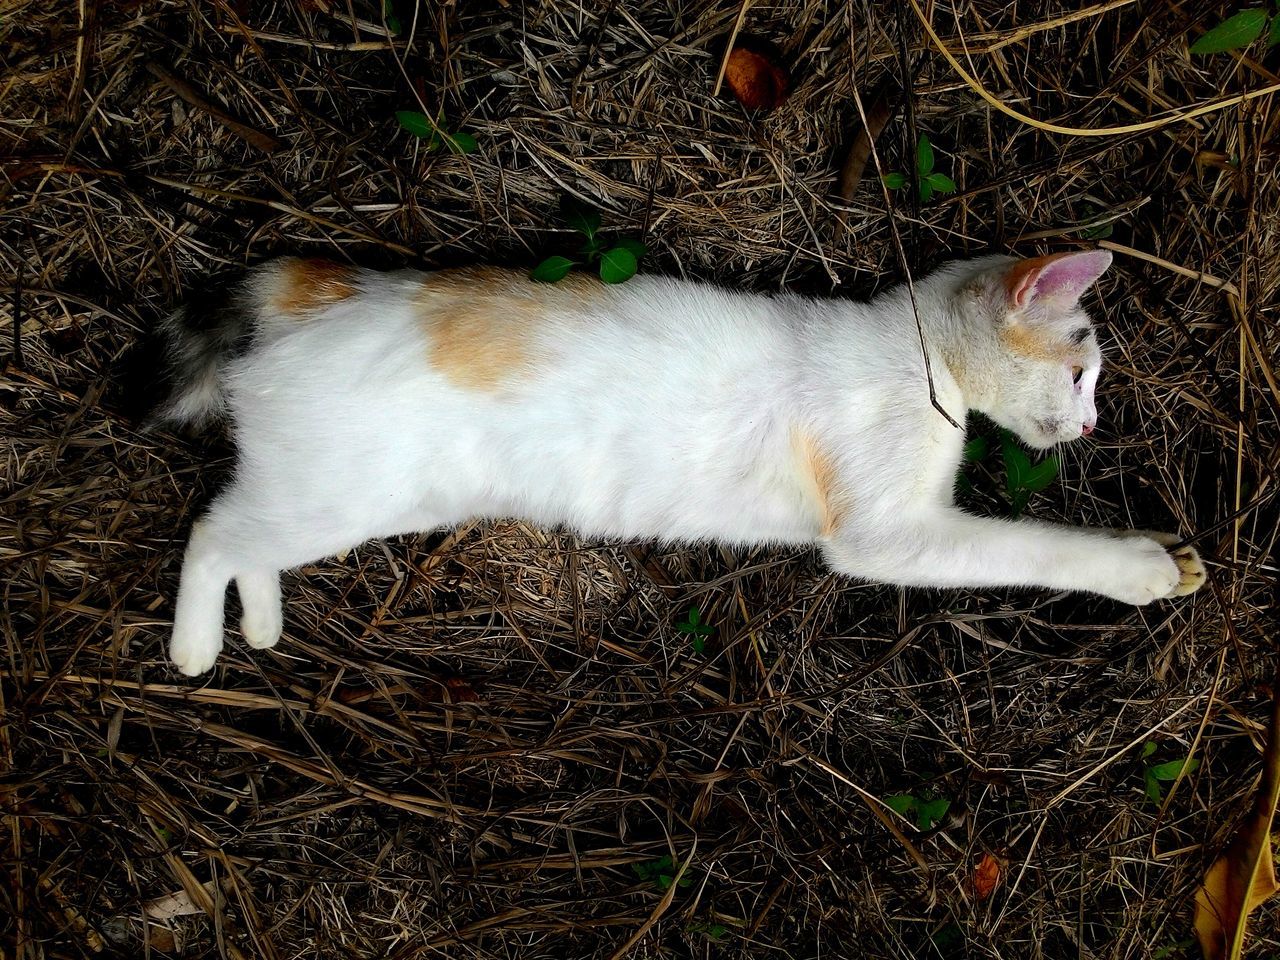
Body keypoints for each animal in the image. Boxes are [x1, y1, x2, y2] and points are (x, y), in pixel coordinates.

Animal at [157, 252, 1198, 680]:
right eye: (1081, 370)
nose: (1092, 423)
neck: (919, 358)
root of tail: (317, 291)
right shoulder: (887, 535)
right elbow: (1031, 547)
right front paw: (1142, 567)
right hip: (333, 494)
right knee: (211, 532)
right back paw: (196, 648)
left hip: (333, 494)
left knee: (246, 535)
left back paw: (261, 623)